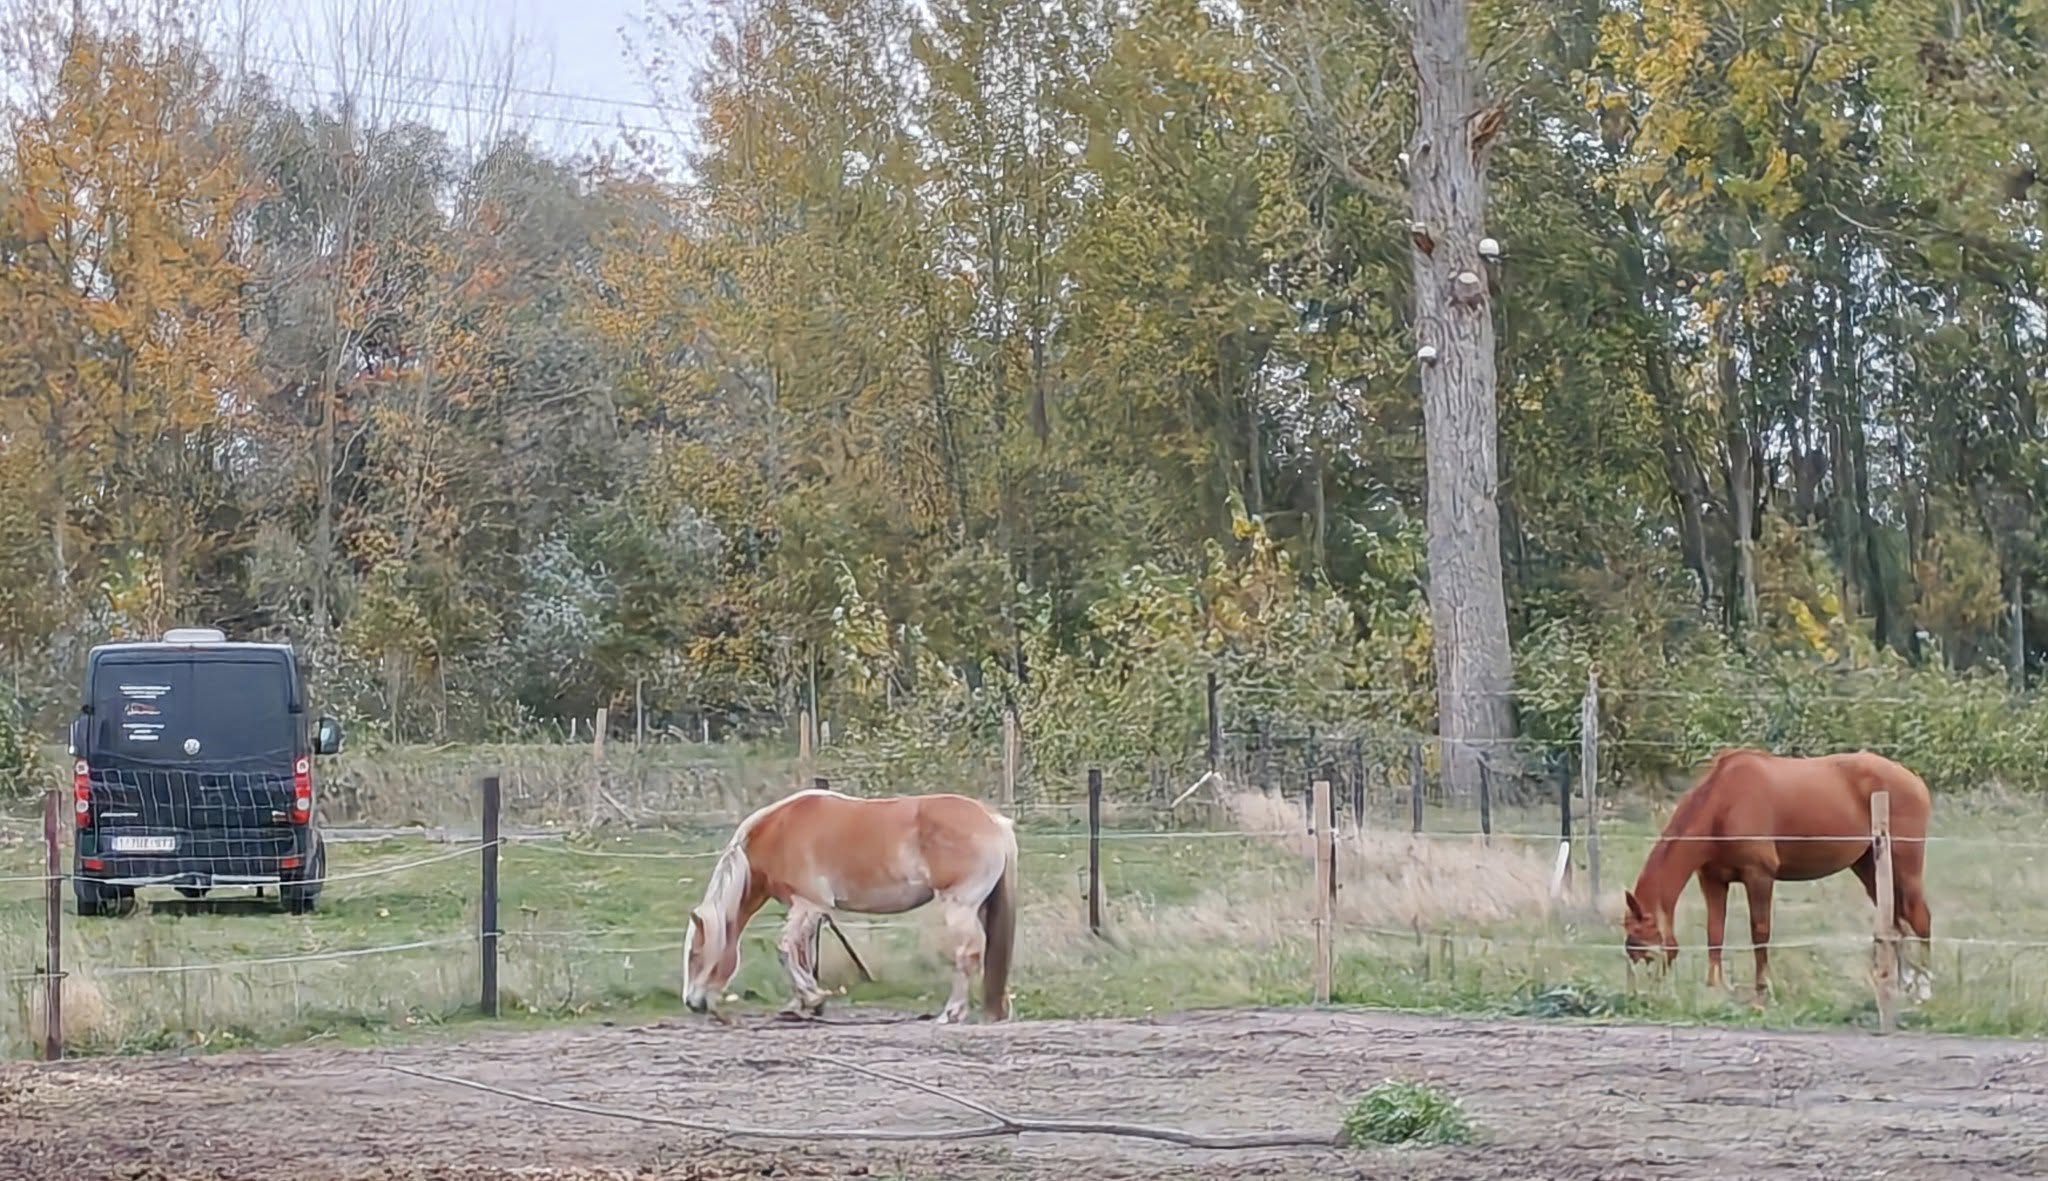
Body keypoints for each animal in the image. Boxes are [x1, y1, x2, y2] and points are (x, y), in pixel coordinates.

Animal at [681, 787, 1019, 1024]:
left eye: (695, 954)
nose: (692, 1004)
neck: (779, 832)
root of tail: (993, 820)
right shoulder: (809, 910)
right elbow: (803, 955)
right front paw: (803, 1005)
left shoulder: (806, 905)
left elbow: (786, 950)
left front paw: (812, 999)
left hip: (960, 906)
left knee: (967, 955)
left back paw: (951, 1013)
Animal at [1621, 747, 1933, 1006]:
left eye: (1644, 948)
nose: (1643, 995)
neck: (1723, 805)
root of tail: (1913, 780)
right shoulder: (1712, 880)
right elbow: (1715, 933)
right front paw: (1715, 989)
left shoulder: (1759, 876)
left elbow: (1760, 933)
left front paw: (1763, 992)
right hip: (1870, 868)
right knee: (1897, 923)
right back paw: (1900, 985)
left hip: (1904, 866)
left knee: (1919, 918)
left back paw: (1923, 990)